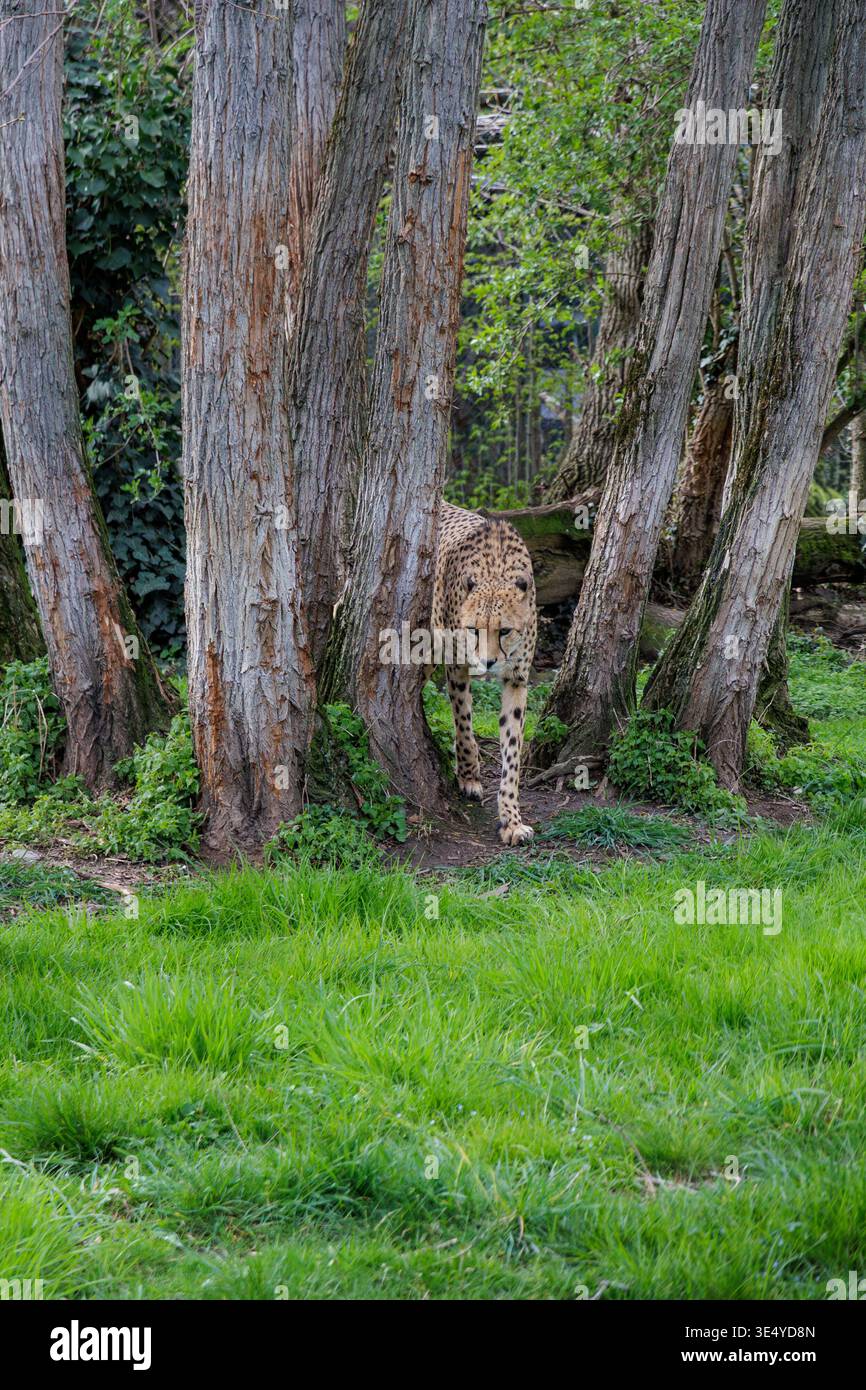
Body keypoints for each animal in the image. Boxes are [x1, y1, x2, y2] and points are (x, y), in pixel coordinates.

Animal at [431, 501, 537, 845]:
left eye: (504, 630)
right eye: (473, 629)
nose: (488, 662)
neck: (496, 568)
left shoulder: (517, 679)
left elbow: (512, 750)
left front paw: (511, 819)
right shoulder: (456, 664)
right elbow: (464, 722)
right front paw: (469, 776)